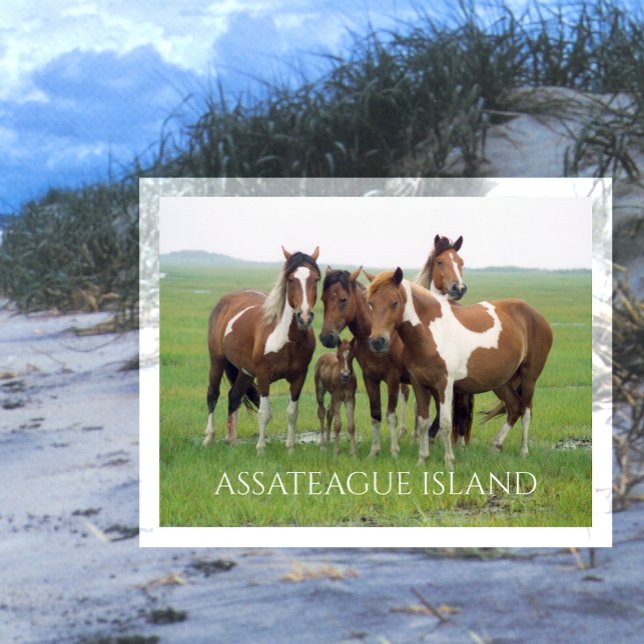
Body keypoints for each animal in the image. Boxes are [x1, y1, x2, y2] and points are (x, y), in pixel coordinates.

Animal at [203, 246, 321, 451]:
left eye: (315, 279)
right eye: (291, 279)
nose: (304, 317)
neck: (287, 340)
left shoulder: (299, 377)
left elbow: (292, 412)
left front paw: (290, 448)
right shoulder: (264, 376)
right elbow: (265, 413)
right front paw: (261, 448)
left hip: (245, 372)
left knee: (234, 397)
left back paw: (231, 442)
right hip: (217, 361)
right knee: (213, 394)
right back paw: (208, 438)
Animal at [366, 268, 553, 470]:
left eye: (394, 302)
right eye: (370, 303)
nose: (377, 342)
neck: (430, 333)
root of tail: (535, 315)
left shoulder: (445, 384)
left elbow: (446, 423)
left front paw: (449, 462)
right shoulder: (419, 383)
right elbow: (423, 422)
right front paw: (422, 459)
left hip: (529, 378)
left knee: (526, 411)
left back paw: (523, 452)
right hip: (501, 382)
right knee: (514, 408)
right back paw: (496, 445)